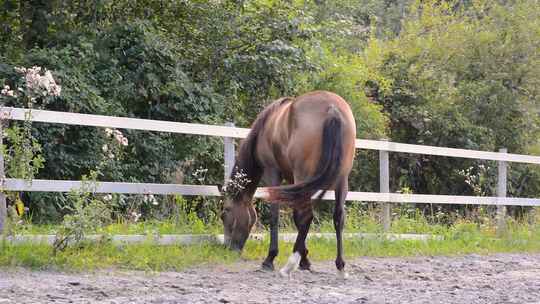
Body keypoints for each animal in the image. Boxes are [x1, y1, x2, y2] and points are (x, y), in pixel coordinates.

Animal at [217, 90, 356, 278]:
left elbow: (276, 215)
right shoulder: (294, 184)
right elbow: (296, 220)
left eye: (225, 213)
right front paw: (305, 260)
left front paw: (270, 259)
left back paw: (288, 266)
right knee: (338, 218)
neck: (267, 125)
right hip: (341, 180)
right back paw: (340, 266)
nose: (229, 249)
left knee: (306, 216)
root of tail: (332, 109)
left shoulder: (273, 172)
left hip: (303, 176)